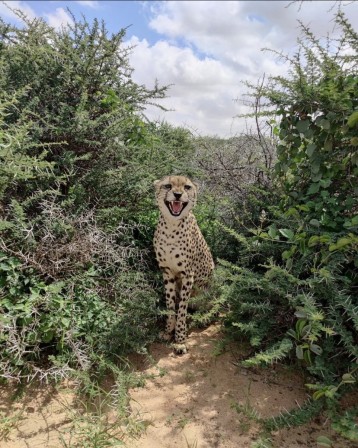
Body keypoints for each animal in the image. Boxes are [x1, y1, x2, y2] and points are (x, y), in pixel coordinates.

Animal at [152, 175, 214, 354]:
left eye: (187, 187)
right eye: (168, 186)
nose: (178, 195)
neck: (171, 227)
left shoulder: (188, 275)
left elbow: (181, 310)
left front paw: (180, 340)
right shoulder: (167, 272)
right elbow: (171, 305)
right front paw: (168, 331)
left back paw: (202, 318)